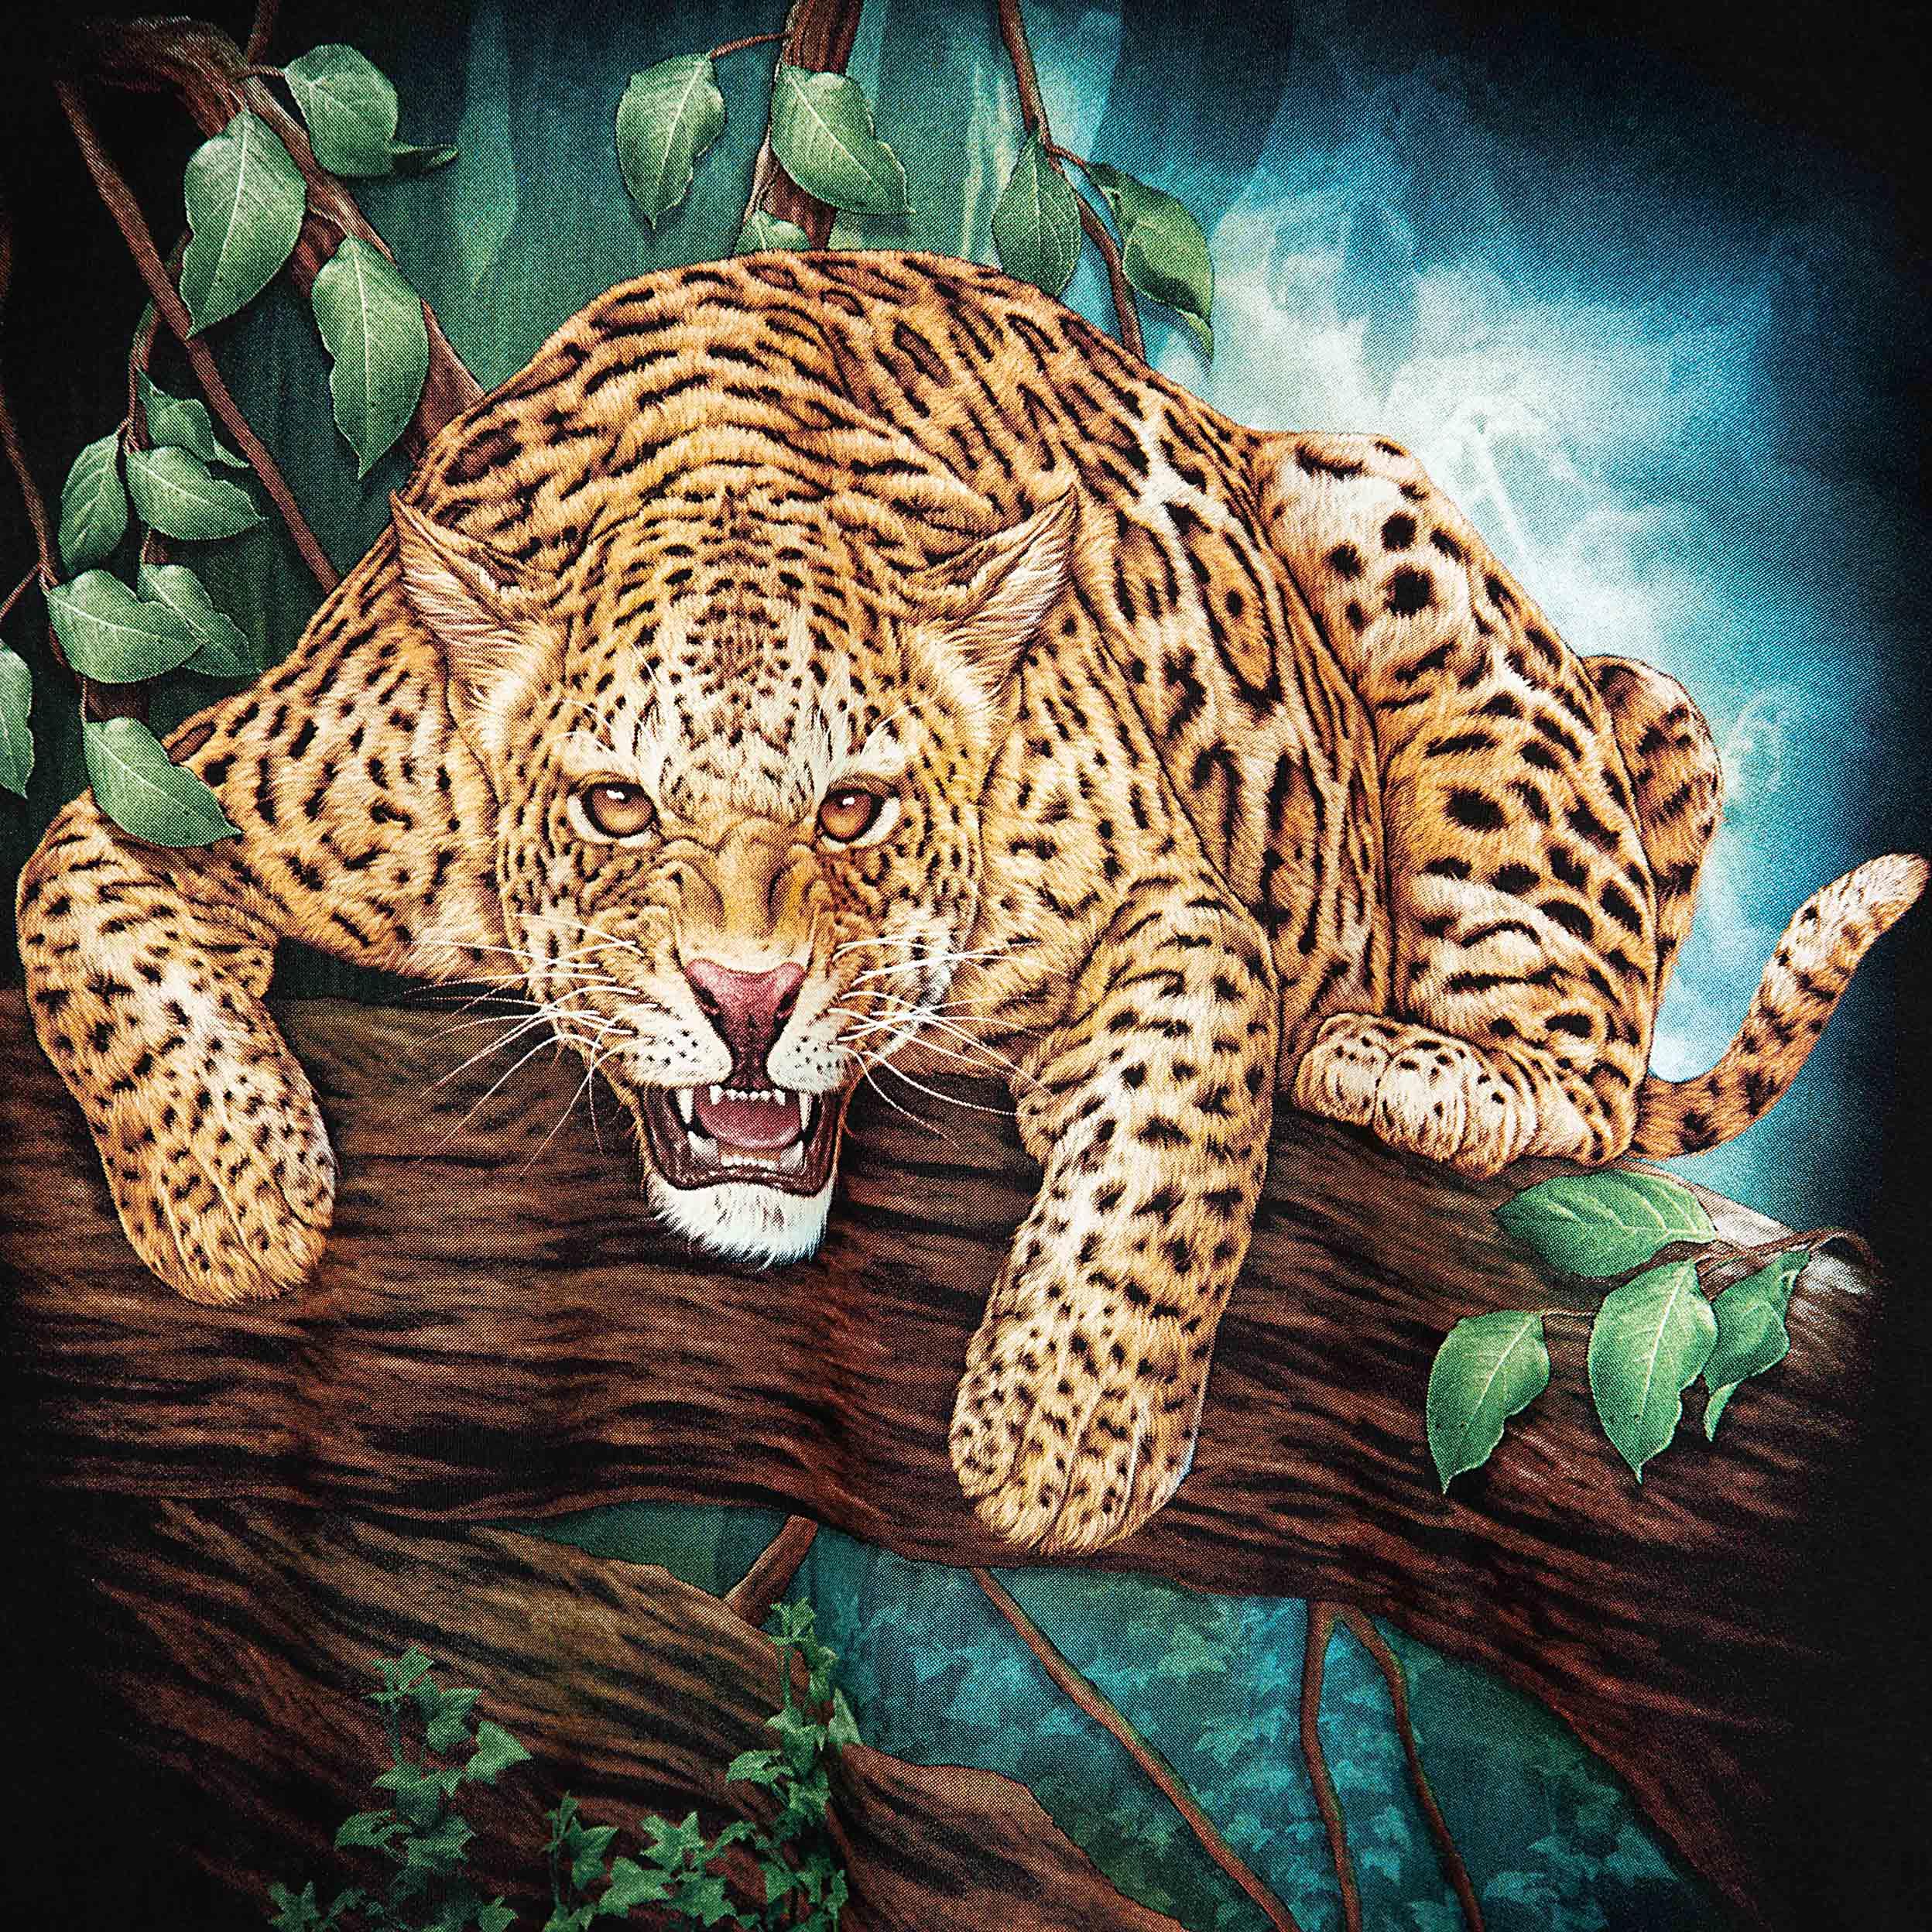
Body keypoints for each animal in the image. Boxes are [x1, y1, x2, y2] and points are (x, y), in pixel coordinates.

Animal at [16, 251, 1923, 1555]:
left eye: (855, 807)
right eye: (618, 805)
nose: (748, 1003)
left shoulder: (1165, 890)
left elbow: (1181, 1095)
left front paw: (1064, 1439)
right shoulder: (221, 775)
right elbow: (68, 891)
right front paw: (235, 1202)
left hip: (1405, 543)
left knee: (1584, 1076)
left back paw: (1428, 1068)